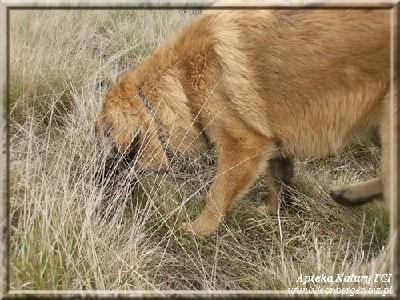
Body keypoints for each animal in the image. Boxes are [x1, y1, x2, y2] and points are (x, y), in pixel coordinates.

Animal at [96, 9, 390, 237]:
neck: (179, 81)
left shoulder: (243, 146)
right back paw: (350, 195)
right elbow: (277, 182)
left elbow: (217, 193)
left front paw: (199, 229)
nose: (97, 180)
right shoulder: (273, 143)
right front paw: (271, 212)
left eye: (111, 143)